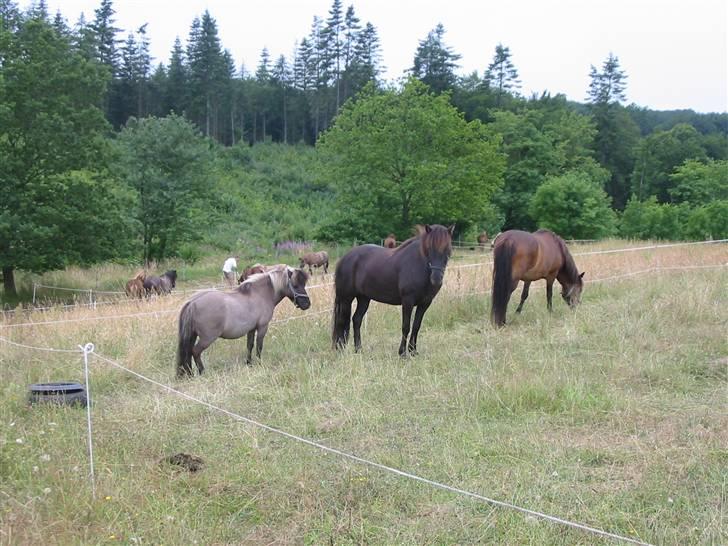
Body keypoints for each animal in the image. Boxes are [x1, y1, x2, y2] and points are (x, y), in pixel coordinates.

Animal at [179, 266, 312, 376]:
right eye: (295, 285)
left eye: (303, 284)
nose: (307, 304)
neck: (260, 294)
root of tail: (193, 302)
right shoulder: (262, 327)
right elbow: (259, 346)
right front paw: (259, 363)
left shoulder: (251, 329)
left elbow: (250, 345)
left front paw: (249, 363)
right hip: (207, 338)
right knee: (195, 352)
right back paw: (202, 372)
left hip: (193, 336)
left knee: (188, 353)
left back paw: (190, 373)